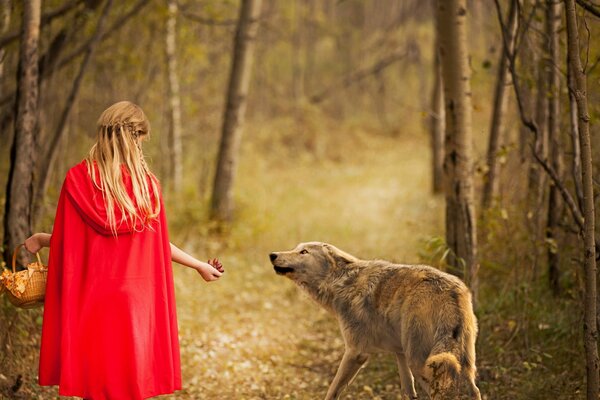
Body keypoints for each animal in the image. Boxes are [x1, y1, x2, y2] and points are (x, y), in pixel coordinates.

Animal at [270, 242, 480, 398]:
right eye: (296, 248)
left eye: (304, 252)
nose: (272, 254)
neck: (341, 283)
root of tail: (451, 291)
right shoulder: (399, 353)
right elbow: (407, 391)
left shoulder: (356, 352)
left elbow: (332, 390)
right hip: (462, 365)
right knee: (475, 391)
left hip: (421, 363)